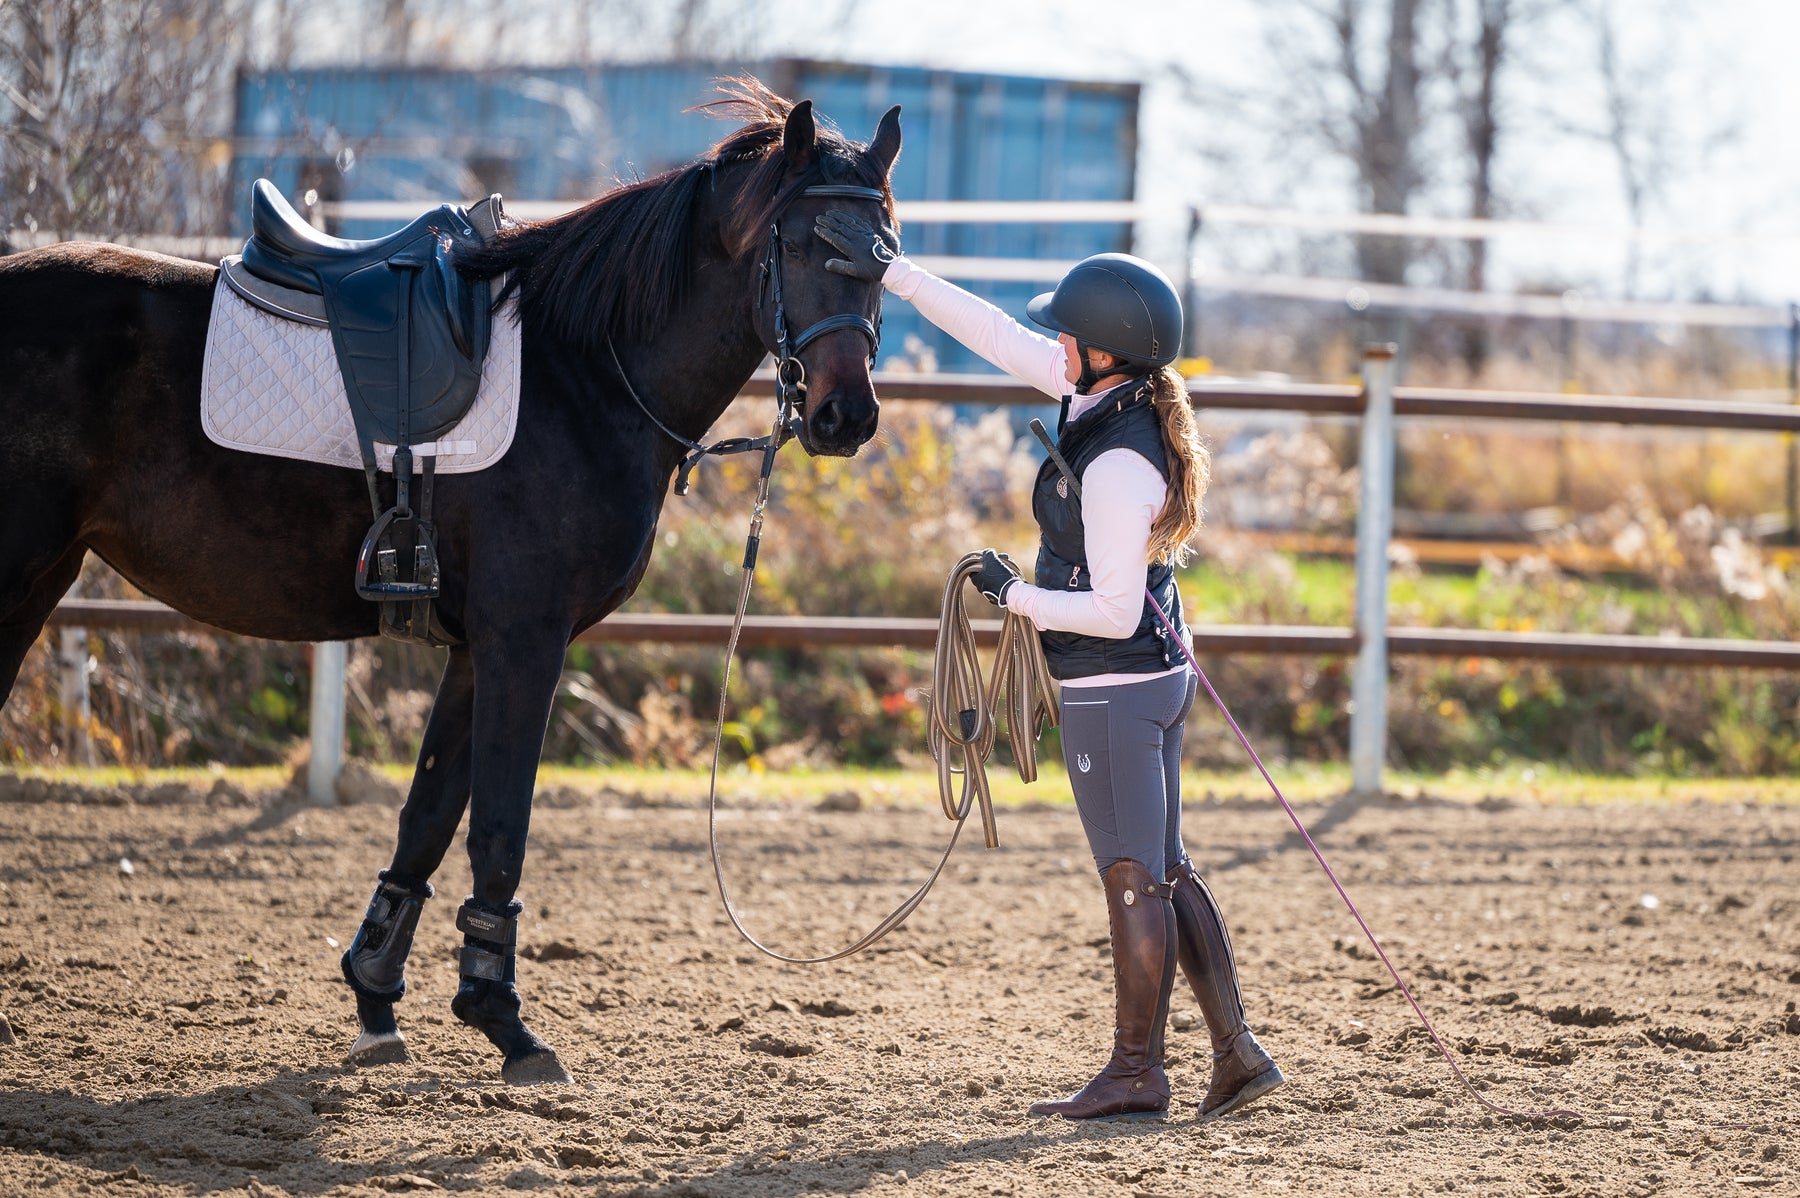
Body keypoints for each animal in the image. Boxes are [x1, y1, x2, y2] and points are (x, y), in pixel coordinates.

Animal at [0, 86, 900, 1079]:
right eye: (802, 244)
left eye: (884, 255)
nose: (846, 417)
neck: (584, 369)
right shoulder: (525, 642)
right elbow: (500, 827)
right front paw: (503, 1018)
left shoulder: (476, 650)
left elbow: (427, 816)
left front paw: (377, 993)